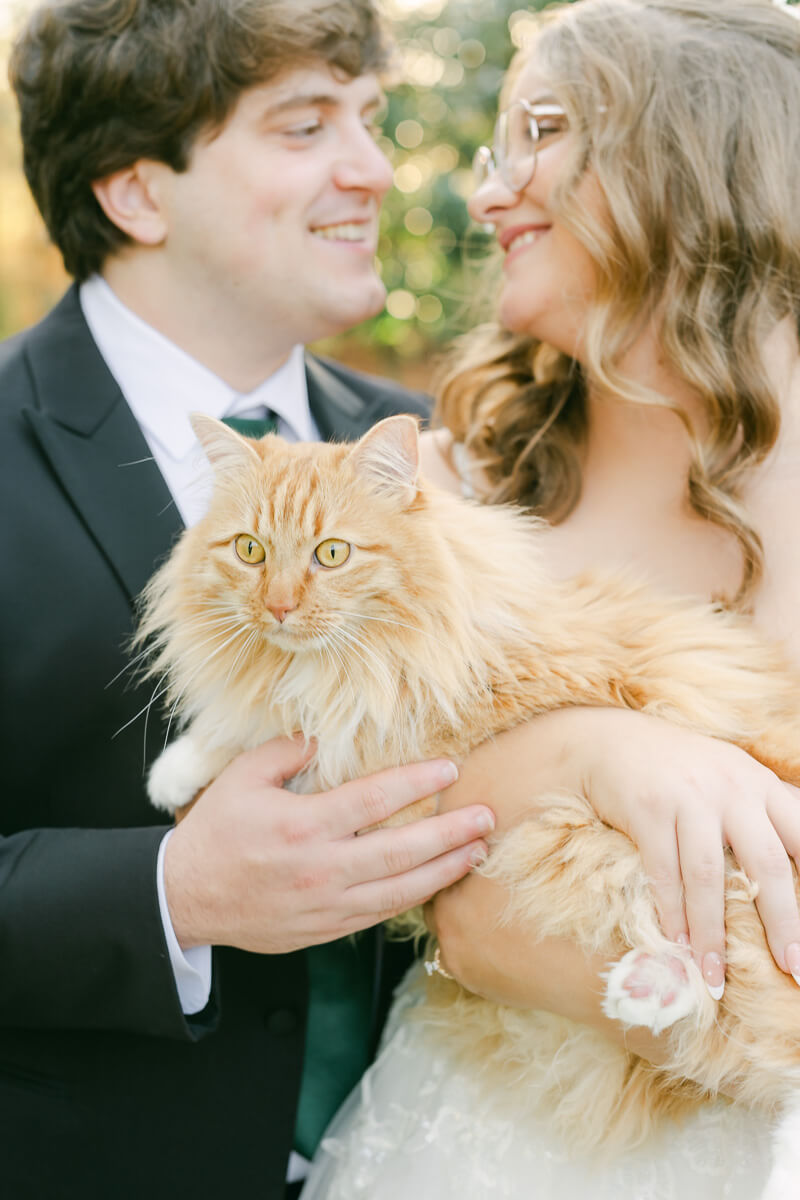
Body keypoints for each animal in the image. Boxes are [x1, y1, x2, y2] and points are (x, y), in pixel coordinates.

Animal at [137, 415, 800, 1200]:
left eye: (331, 554)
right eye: (250, 551)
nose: (278, 607)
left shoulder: (426, 735)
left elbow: (303, 741)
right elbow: (269, 730)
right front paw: (179, 771)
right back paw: (646, 987)